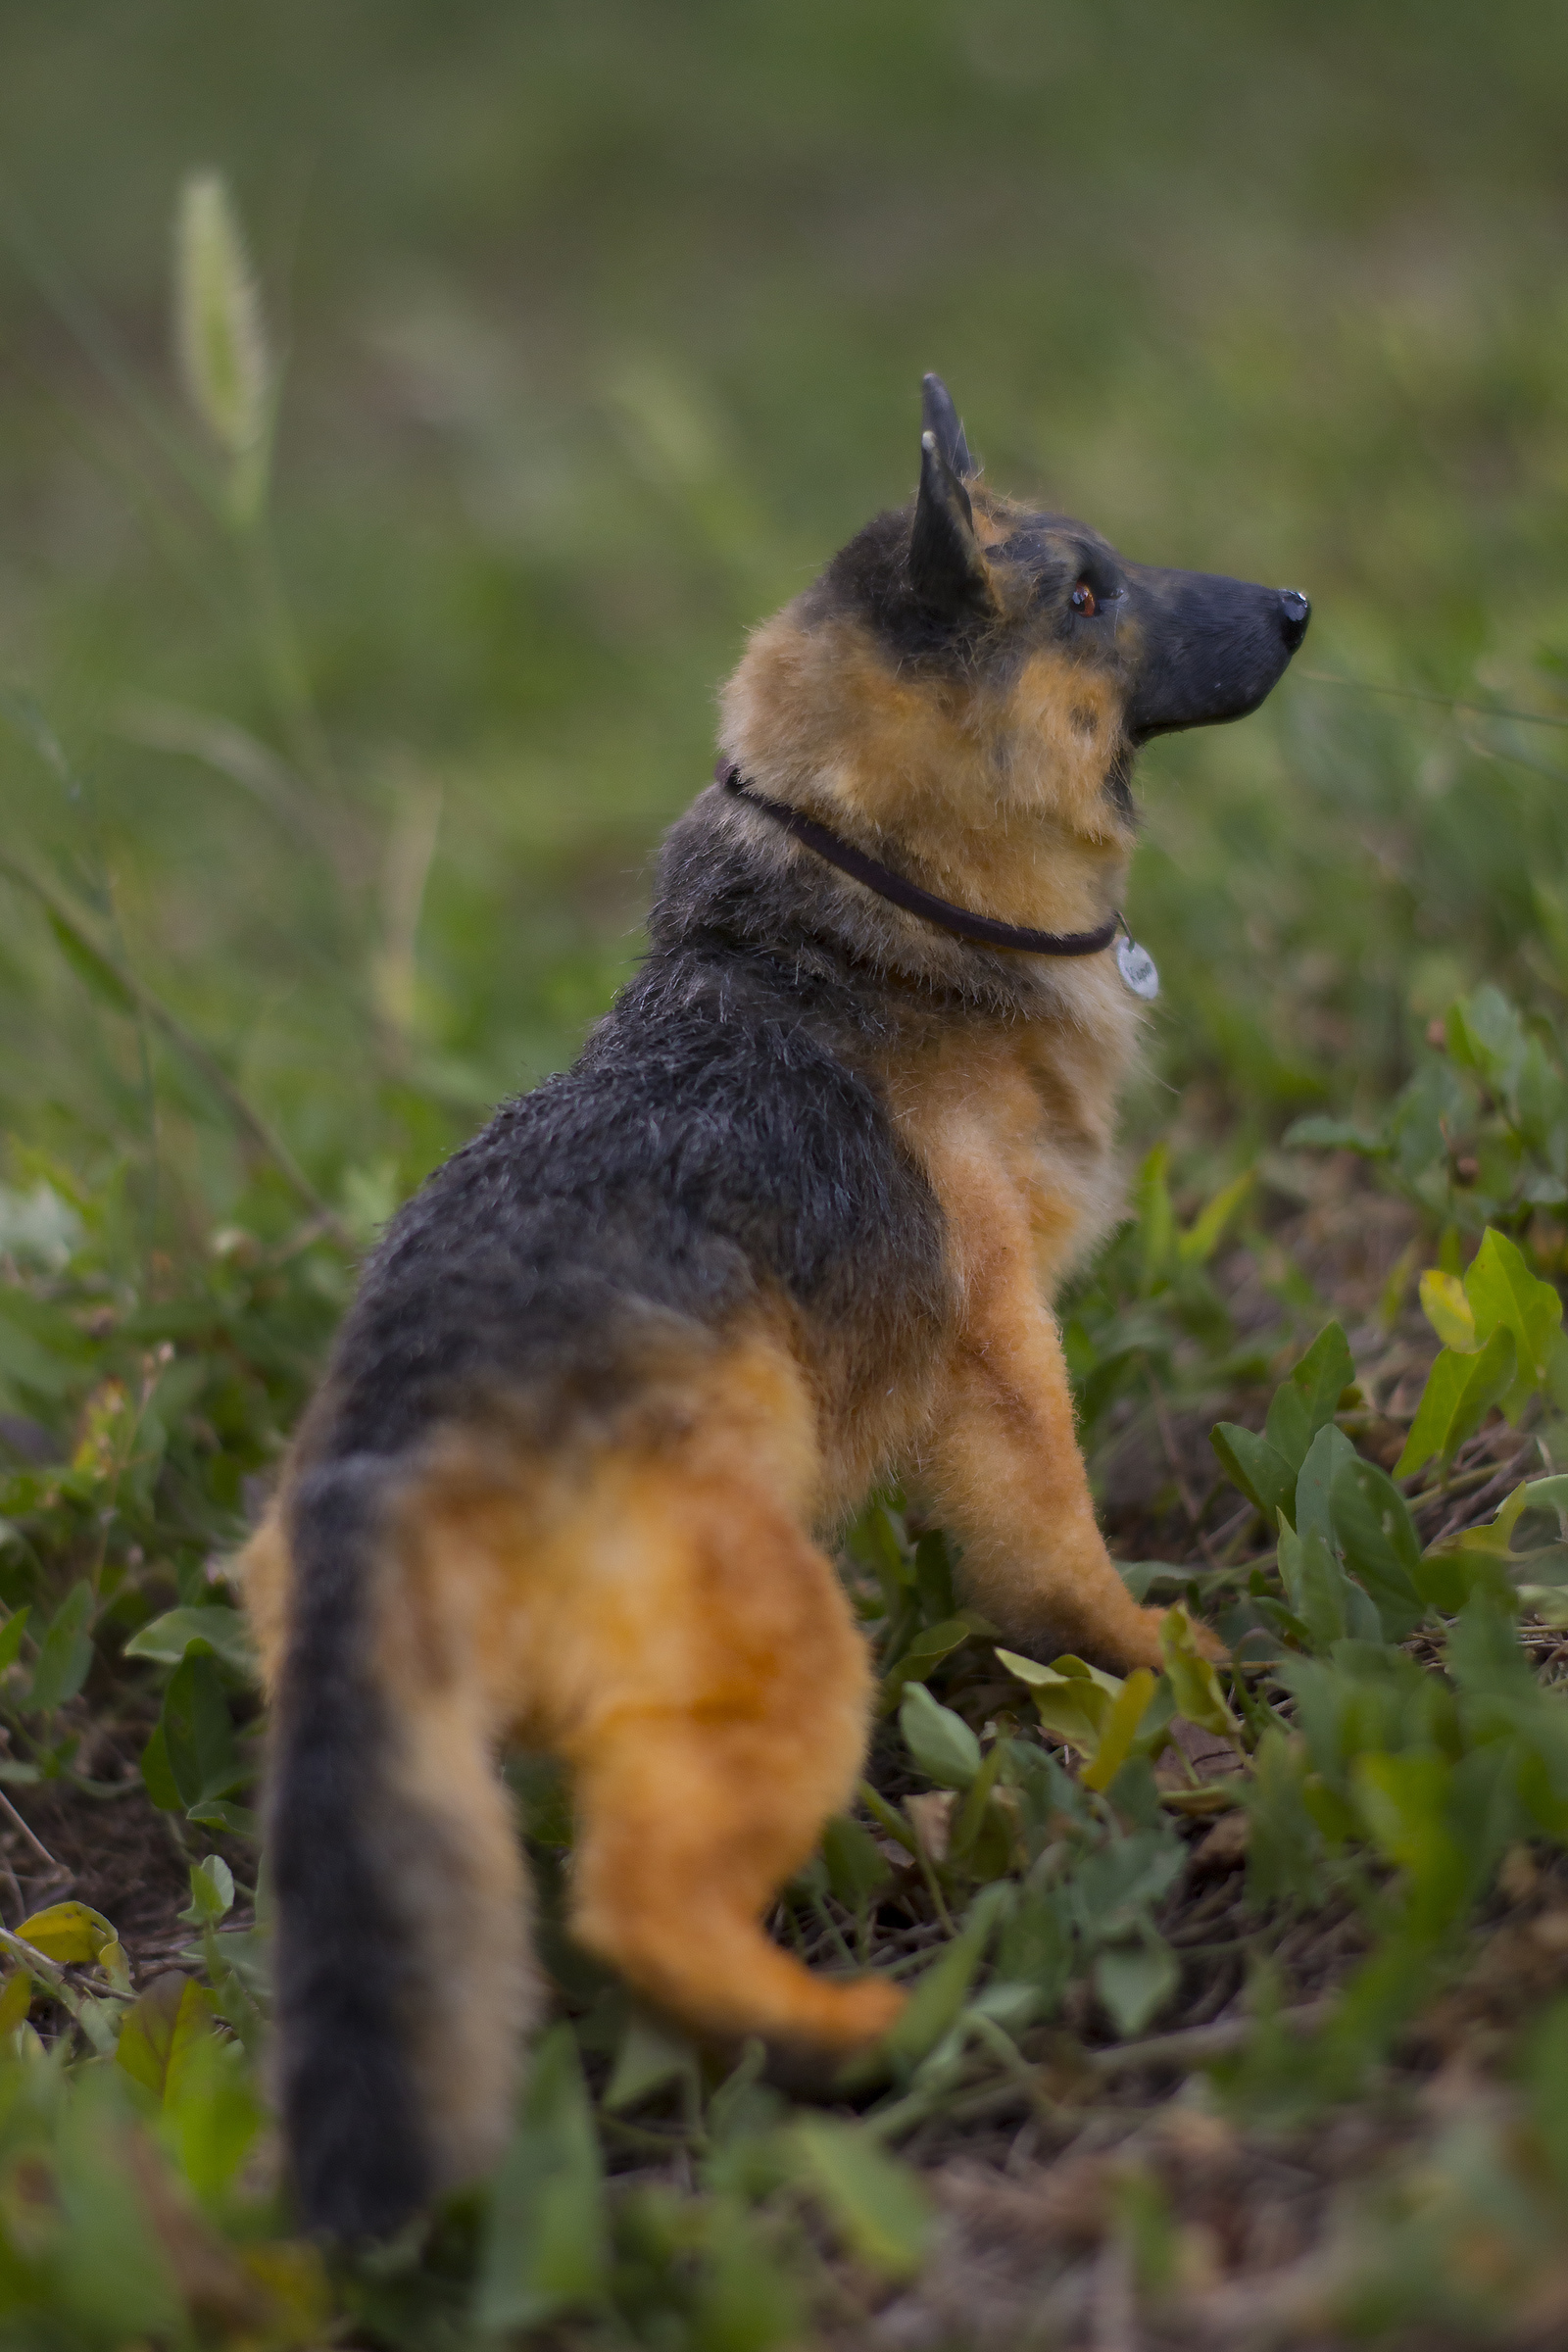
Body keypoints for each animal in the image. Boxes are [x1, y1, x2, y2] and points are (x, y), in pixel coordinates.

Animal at [239, 376, 1306, 2230]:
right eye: (1087, 590)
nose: (1304, 608)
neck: (861, 928)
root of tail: (390, 1454)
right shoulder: (997, 1358)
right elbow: (1058, 1553)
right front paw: (1154, 1658)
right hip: (790, 1658)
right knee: (639, 1900)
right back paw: (861, 2028)